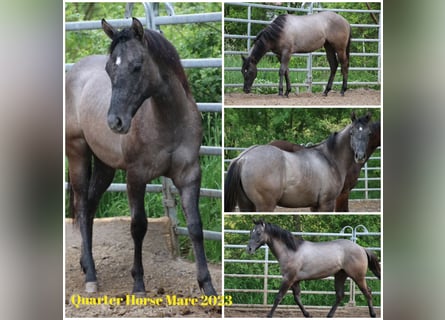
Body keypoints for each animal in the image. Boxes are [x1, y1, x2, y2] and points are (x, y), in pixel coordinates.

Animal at [66, 18, 217, 296]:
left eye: (137, 66)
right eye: (109, 69)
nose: (115, 122)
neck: (169, 121)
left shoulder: (190, 175)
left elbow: (195, 226)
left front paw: (207, 285)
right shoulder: (136, 177)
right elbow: (138, 226)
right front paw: (138, 283)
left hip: (104, 166)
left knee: (89, 207)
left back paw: (85, 263)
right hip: (77, 153)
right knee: (81, 206)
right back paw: (91, 276)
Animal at [224, 112, 372, 212]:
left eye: (368, 133)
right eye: (352, 133)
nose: (360, 156)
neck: (330, 158)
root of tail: (243, 158)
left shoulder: (315, 205)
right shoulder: (327, 203)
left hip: (246, 204)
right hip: (265, 205)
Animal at [245, 220, 380, 318]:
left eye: (258, 232)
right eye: (251, 232)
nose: (249, 249)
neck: (291, 251)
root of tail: (361, 248)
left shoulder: (288, 279)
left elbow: (279, 297)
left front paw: (269, 315)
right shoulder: (295, 280)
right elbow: (297, 298)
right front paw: (307, 314)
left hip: (357, 276)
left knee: (368, 292)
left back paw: (373, 314)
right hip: (340, 275)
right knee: (340, 295)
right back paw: (329, 315)